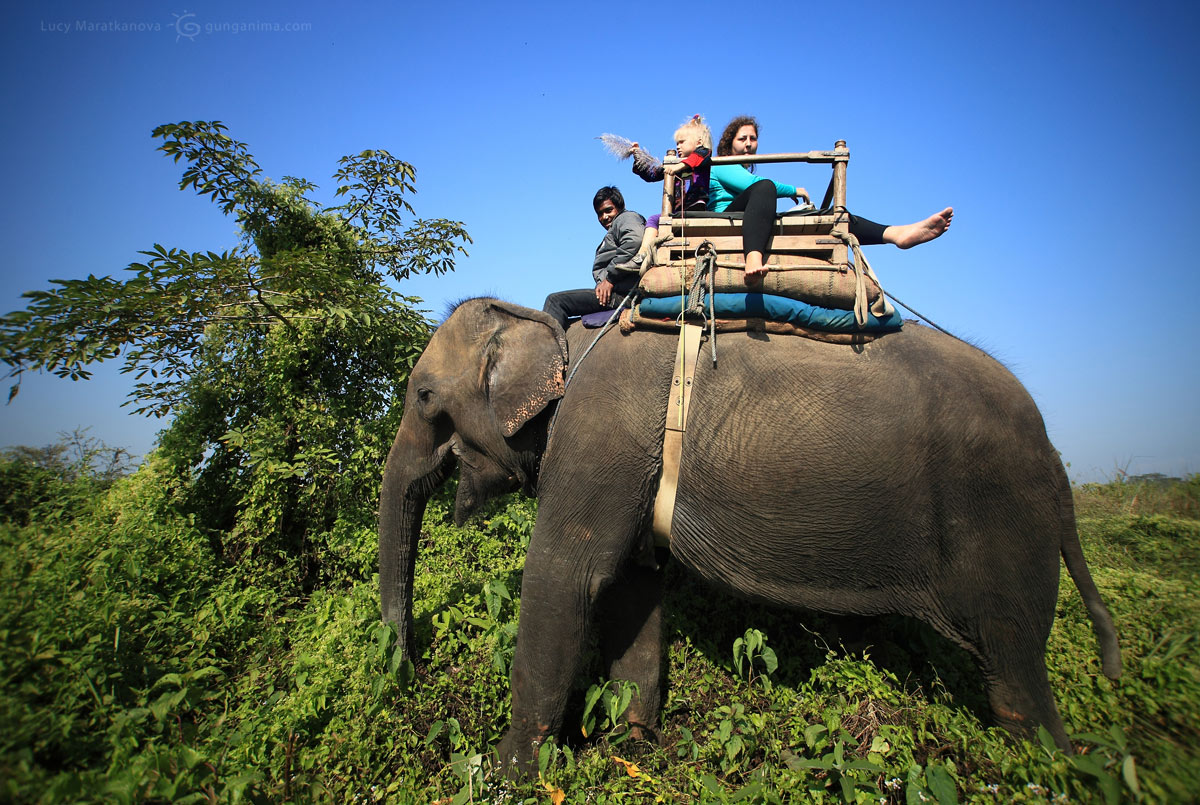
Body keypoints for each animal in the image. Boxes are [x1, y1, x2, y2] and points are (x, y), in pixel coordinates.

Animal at [379, 296, 1118, 772]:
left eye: (423, 397)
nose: (408, 670)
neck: (560, 334)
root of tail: (1056, 458)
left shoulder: (599, 434)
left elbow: (566, 578)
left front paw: (502, 775)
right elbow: (633, 588)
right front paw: (635, 751)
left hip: (1002, 523)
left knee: (1015, 675)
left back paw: (1054, 768)